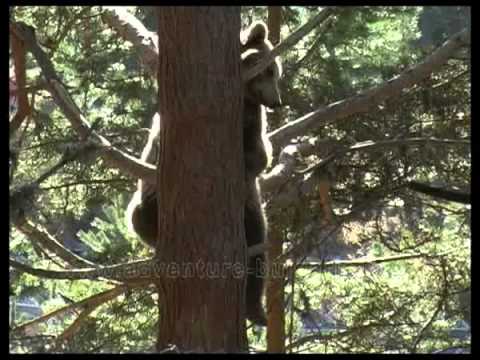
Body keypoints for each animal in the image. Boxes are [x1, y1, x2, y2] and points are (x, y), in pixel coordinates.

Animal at [126, 22, 282, 326]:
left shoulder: (252, 124)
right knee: (141, 215)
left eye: (275, 72)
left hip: (248, 214)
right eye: (268, 70)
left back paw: (255, 309)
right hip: (149, 208)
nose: (277, 102)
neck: (243, 101)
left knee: (257, 245)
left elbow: (260, 155)